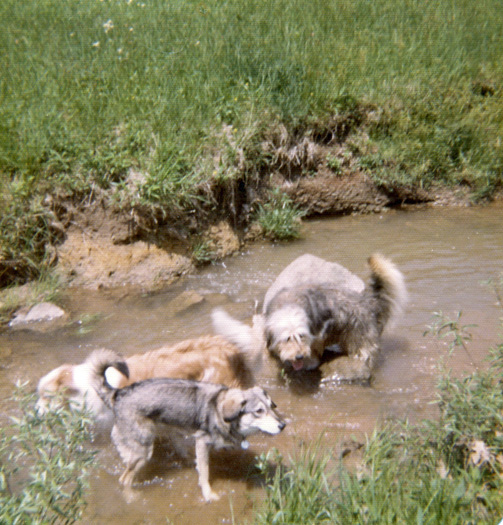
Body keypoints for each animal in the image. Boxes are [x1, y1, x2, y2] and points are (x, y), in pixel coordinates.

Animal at [262, 252, 408, 378]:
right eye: (287, 339)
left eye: (302, 336)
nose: (299, 357)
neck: (288, 306)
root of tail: (369, 301)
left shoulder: (316, 337)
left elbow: (314, 350)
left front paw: (309, 363)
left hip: (362, 340)